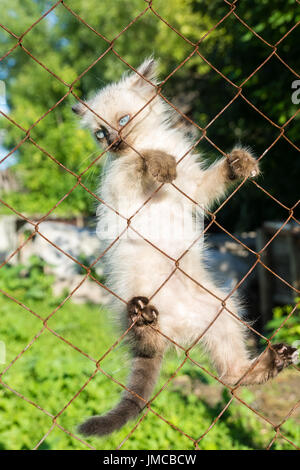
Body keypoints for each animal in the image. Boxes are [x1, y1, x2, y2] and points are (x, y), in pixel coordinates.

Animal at [72, 57, 298, 436]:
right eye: (100, 133)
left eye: (123, 121)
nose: (114, 143)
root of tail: (175, 326)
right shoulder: (122, 184)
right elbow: (140, 160)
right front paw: (158, 161)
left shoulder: (193, 191)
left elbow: (213, 178)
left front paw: (239, 163)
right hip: (131, 297)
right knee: (145, 345)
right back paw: (143, 319)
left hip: (222, 312)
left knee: (232, 377)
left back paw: (271, 361)